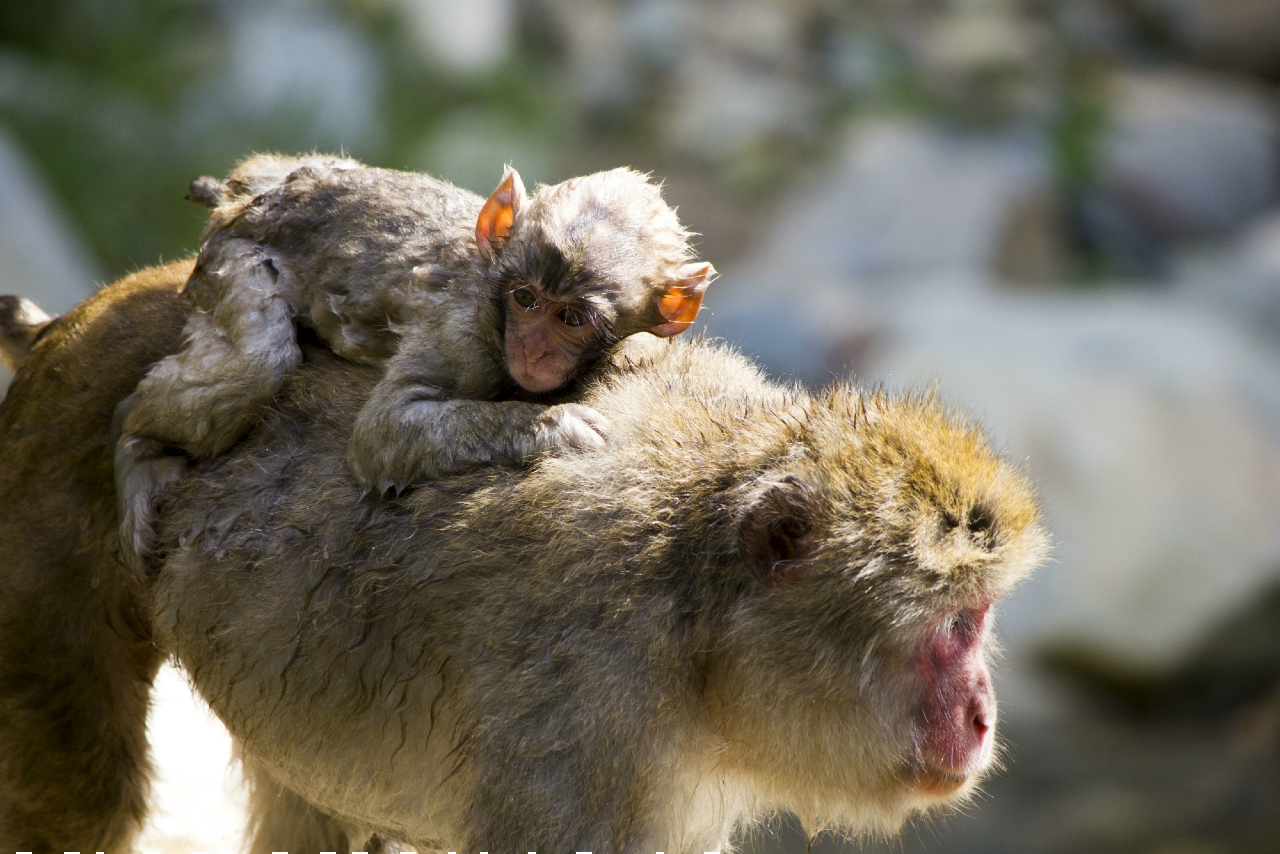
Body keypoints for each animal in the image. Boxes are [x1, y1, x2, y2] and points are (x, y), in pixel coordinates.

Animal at [117, 156, 711, 571]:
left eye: (571, 318)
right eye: (525, 299)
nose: (533, 351)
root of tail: (256, 191)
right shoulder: (466, 332)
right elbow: (381, 432)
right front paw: (553, 425)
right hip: (231, 254)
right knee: (256, 366)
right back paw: (137, 450)